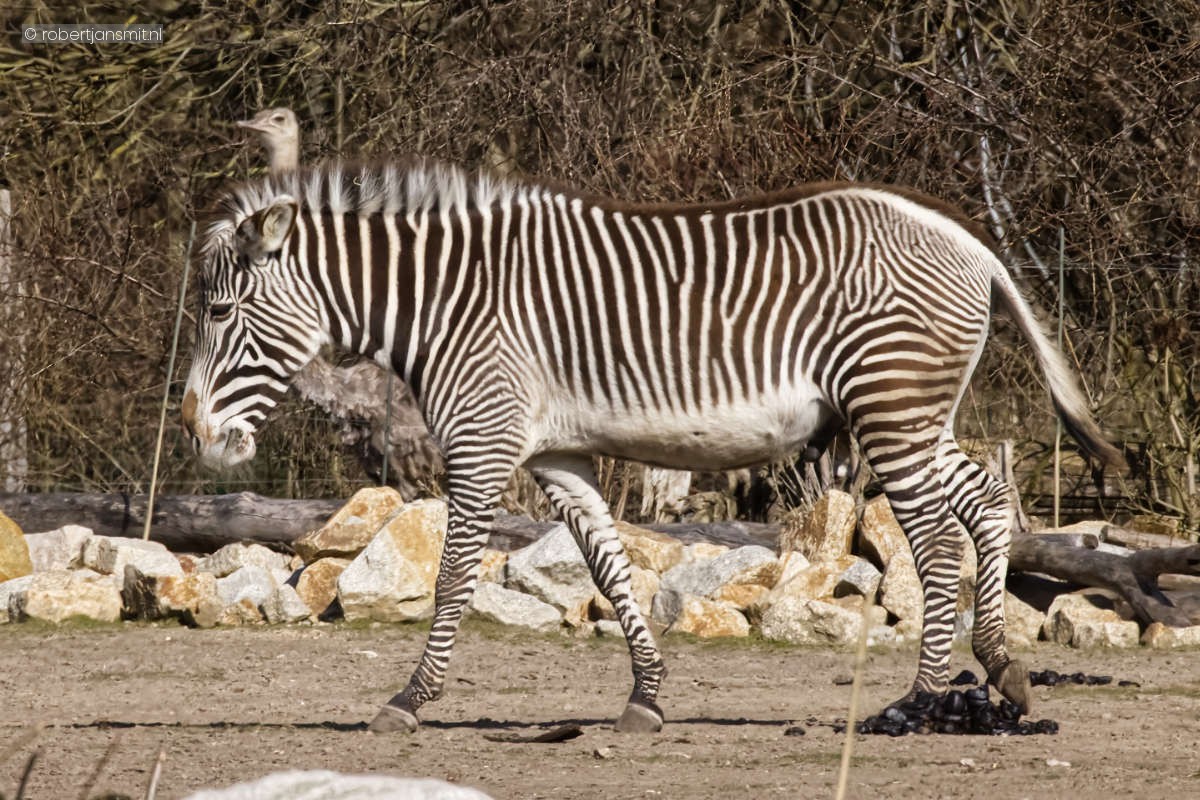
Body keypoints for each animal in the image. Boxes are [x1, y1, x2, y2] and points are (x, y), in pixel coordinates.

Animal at [181, 159, 1122, 734]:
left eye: (221, 313)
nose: (194, 430)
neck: (447, 303)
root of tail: (969, 241)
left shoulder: (482, 441)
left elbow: (452, 577)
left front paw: (412, 698)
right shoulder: (553, 456)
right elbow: (606, 564)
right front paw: (647, 695)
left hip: (891, 406)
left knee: (932, 543)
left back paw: (919, 700)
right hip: (922, 413)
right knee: (987, 503)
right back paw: (1001, 670)